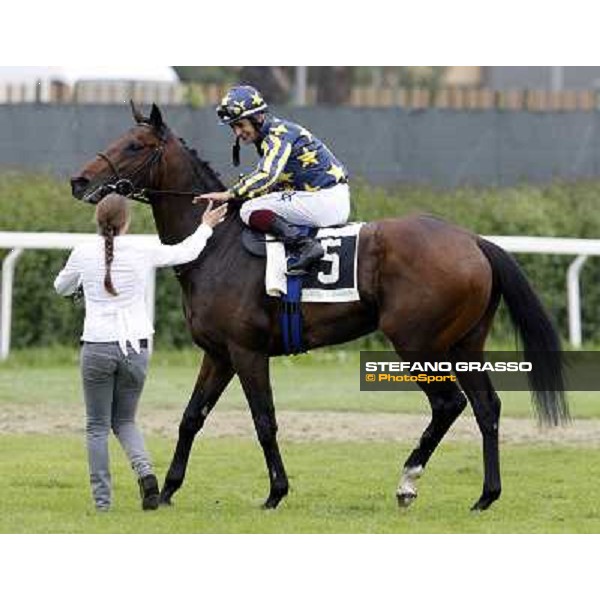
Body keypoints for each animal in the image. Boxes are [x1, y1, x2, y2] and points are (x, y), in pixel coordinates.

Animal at [70, 102, 568, 510]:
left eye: (134, 145)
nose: (80, 181)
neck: (215, 247)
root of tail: (474, 240)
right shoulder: (218, 354)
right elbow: (192, 418)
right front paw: (168, 490)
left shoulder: (247, 352)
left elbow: (264, 421)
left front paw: (276, 492)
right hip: (464, 344)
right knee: (487, 407)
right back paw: (486, 496)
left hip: (417, 343)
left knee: (448, 404)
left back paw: (407, 483)